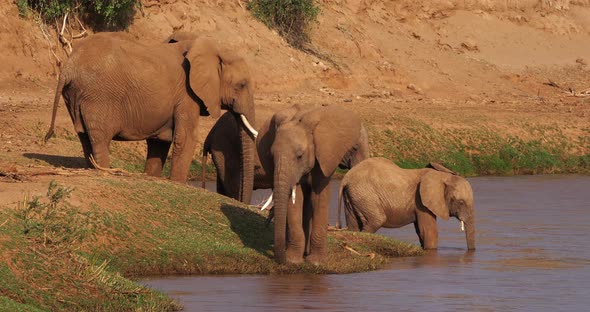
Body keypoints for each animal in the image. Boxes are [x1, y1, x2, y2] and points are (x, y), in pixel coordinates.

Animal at [44, 33, 260, 189]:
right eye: (241, 85)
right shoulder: (187, 95)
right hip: (97, 96)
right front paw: (178, 184)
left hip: (75, 95)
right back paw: (104, 171)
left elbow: (160, 142)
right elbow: (186, 138)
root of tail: (68, 67)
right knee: (100, 139)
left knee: (84, 135)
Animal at [338, 157, 476, 250]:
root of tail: (346, 177)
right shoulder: (421, 201)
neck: (442, 176)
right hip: (365, 194)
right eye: (461, 202)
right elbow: (429, 232)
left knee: (353, 225)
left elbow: (421, 231)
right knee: (376, 220)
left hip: (354, 195)